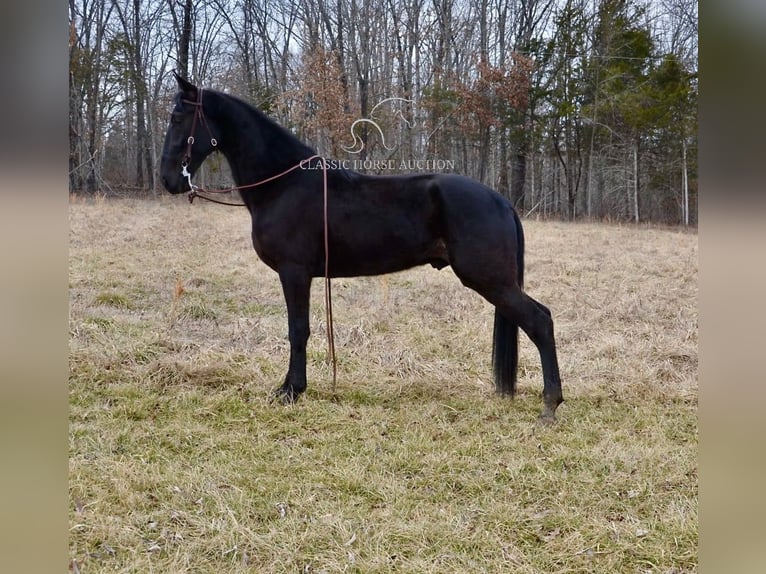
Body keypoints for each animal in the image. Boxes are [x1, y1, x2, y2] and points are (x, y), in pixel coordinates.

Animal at [159, 73, 564, 424]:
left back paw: (551, 404)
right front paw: (292, 387)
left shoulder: (295, 272)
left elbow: (297, 330)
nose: (167, 179)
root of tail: (501, 201)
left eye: (179, 117)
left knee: (540, 321)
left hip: (490, 279)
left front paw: (291, 391)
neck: (283, 185)